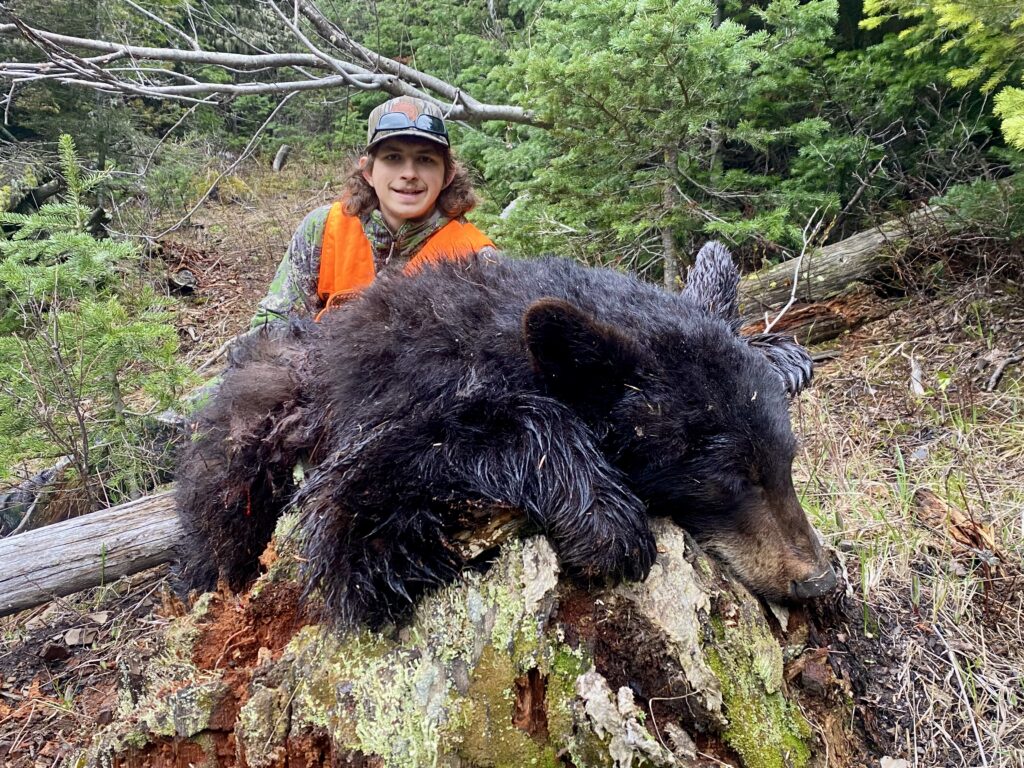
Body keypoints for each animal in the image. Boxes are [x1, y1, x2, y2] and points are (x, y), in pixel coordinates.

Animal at [175, 243, 835, 627]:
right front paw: (607, 521)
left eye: (786, 461)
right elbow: (359, 514)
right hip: (262, 413)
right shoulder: (400, 404)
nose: (820, 579)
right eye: (728, 476)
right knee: (224, 506)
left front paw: (784, 354)